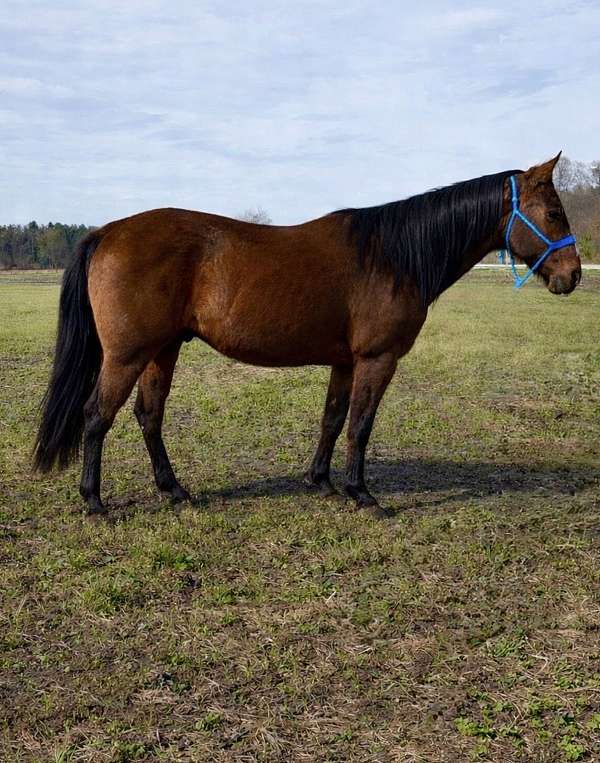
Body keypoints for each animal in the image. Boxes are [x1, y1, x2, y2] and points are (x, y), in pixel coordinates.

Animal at [33, 154, 581, 517]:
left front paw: (321, 482)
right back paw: (95, 502)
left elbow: (333, 420)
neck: (392, 254)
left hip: (161, 351)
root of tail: (107, 231)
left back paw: (174, 491)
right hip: (126, 355)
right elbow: (360, 425)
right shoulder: (378, 358)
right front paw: (363, 495)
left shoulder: (345, 361)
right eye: (554, 213)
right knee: (96, 416)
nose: (573, 275)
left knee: (149, 416)